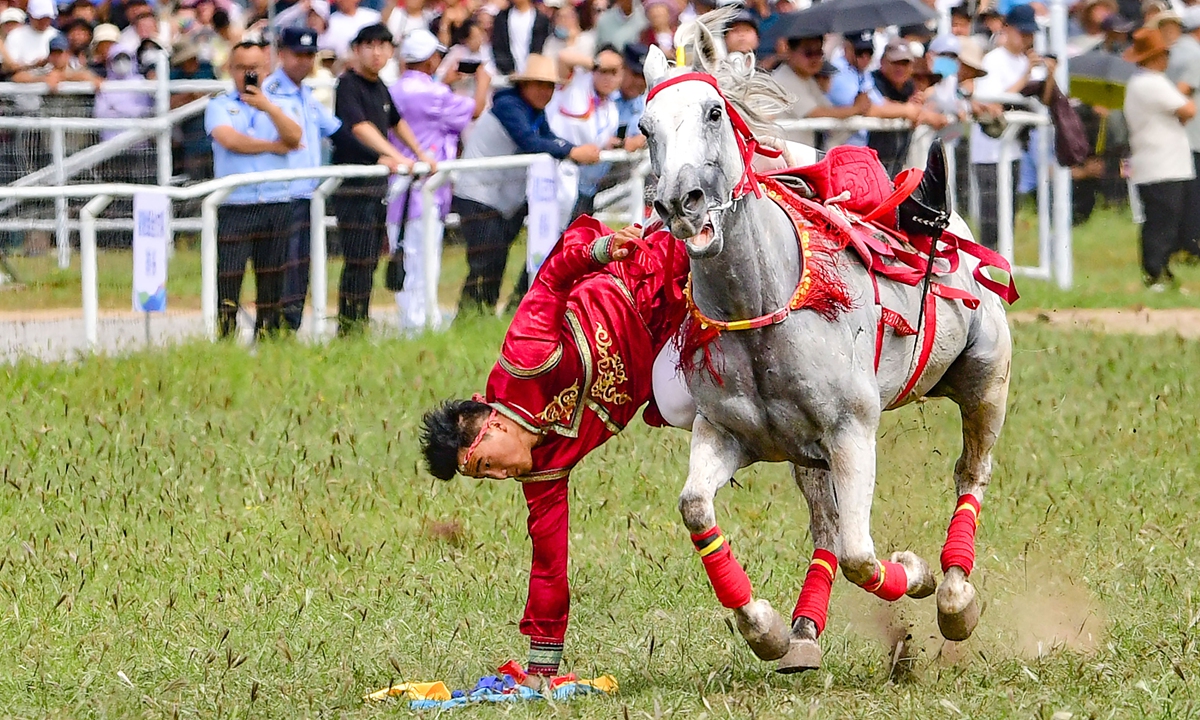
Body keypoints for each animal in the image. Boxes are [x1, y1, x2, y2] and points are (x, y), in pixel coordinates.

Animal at [638, 12, 1016, 673]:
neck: (764, 306)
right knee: (825, 527)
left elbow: (864, 555)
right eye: (644, 126)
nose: (680, 205)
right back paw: (804, 632)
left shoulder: (852, 432)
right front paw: (763, 628)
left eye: (713, 112)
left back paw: (954, 596)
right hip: (805, 454)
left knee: (970, 475)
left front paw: (914, 572)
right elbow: (696, 508)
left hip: (985, 381)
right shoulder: (726, 434)